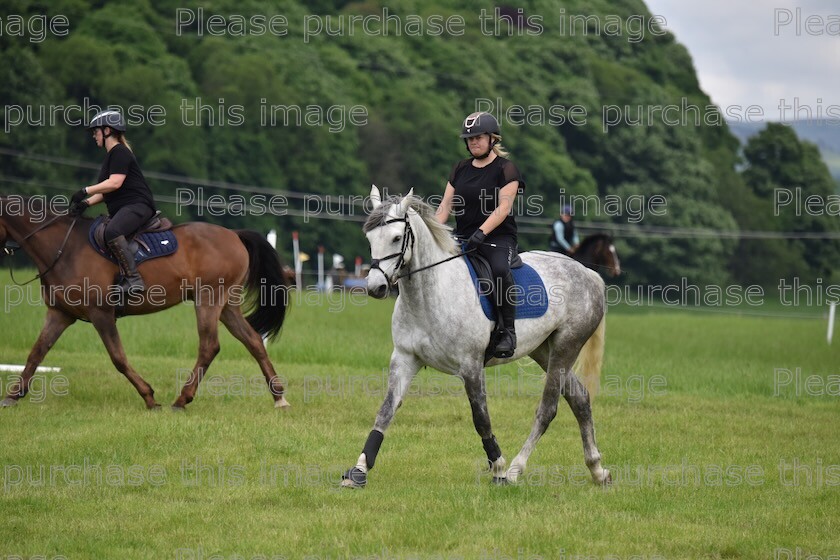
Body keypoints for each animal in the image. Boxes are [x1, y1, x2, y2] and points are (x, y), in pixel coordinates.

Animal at [0, 197, 290, 412]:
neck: (65, 248)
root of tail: (234, 234)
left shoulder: (100, 314)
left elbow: (118, 358)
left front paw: (149, 397)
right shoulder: (59, 314)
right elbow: (37, 352)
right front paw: (13, 395)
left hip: (208, 299)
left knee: (209, 346)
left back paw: (182, 399)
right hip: (227, 305)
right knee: (253, 341)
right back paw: (279, 397)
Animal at [342, 186, 612, 488]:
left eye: (397, 237)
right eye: (370, 238)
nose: (375, 287)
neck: (429, 294)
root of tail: (587, 273)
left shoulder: (470, 366)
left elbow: (481, 417)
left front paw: (498, 468)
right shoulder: (404, 358)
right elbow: (386, 411)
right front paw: (359, 470)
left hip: (567, 345)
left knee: (548, 408)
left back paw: (516, 468)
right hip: (544, 350)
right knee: (579, 399)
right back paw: (597, 469)